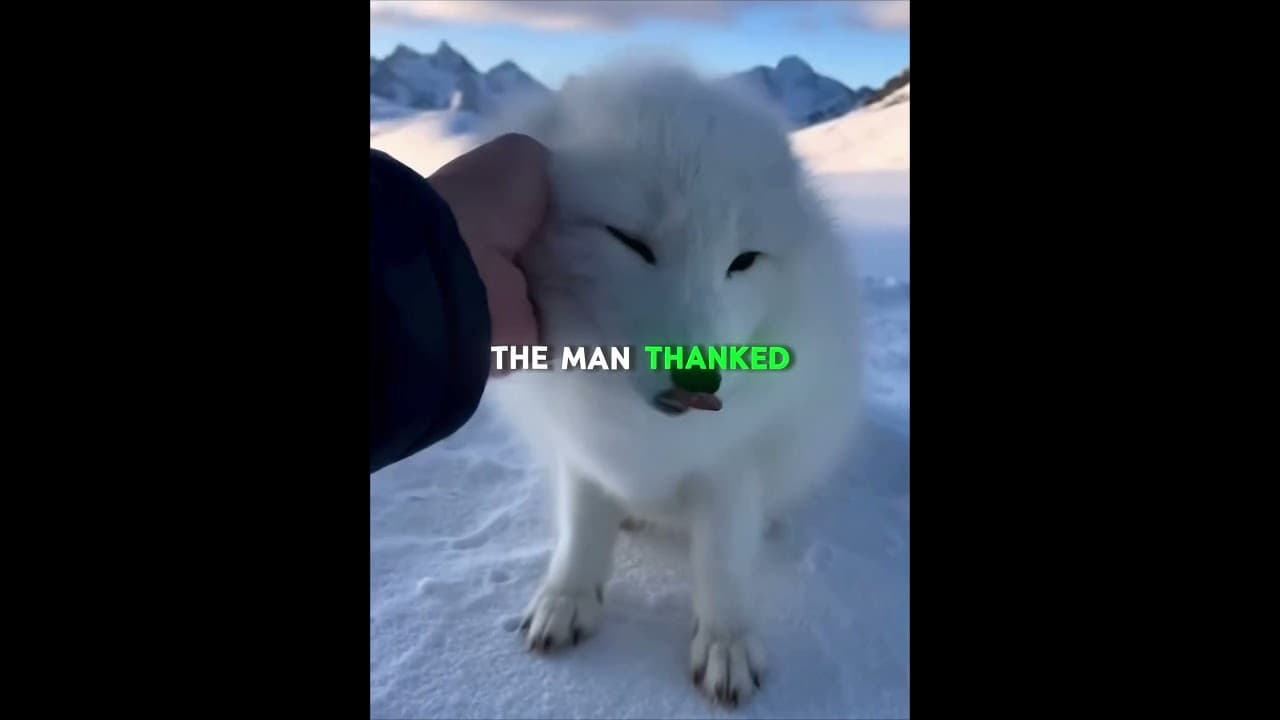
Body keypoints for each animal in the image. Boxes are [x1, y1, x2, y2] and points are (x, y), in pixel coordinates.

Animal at [480, 59, 863, 707]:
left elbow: (723, 560)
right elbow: (580, 529)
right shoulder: (579, 449)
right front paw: (567, 598)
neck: (642, 436)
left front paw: (727, 641)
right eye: (631, 241)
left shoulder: (733, 465)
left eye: (744, 260)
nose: (701, 375)